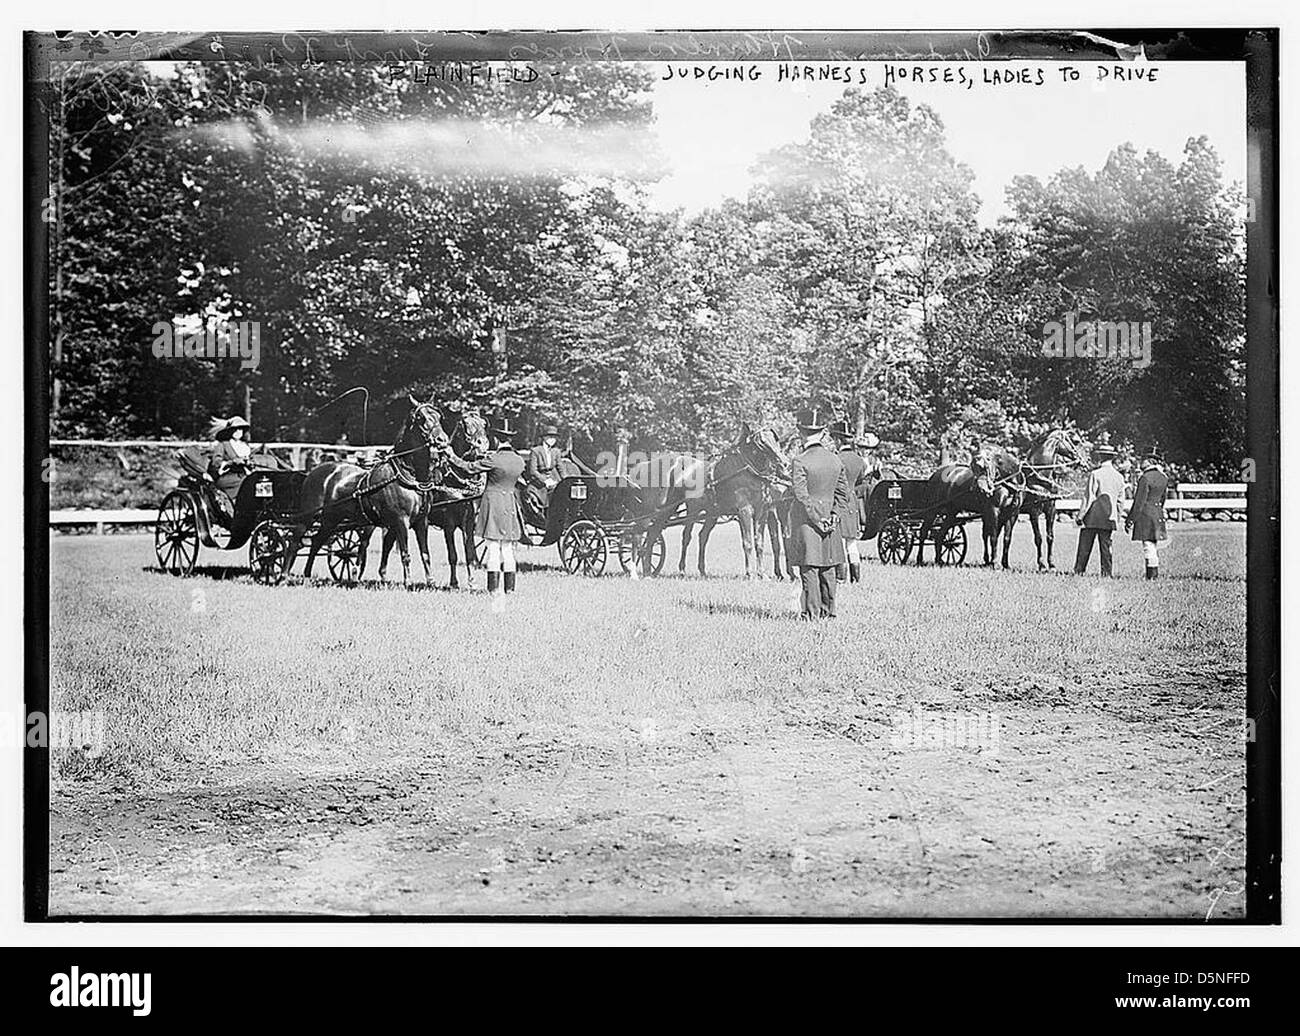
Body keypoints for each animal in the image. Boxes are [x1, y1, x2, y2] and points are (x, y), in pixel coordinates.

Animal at [289, 395, 452, 582]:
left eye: (438, 416)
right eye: (421, 418)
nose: (442, 440)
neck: (408, 475)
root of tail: (313, 472)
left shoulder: (420, 521)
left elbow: (425, 554)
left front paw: (429, 581)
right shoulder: (401, 520)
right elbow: (405, 554)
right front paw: (408, 582)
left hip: (331, 519)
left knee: (316, 541)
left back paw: (307, 575)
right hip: (308, 516)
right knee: (295, 541)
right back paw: (283, 574)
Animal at [634, 421, 785, 582]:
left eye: (775, 439)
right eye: (761, 442)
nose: (784, 463)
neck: (747, 471)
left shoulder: (762, 512)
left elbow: (760, 544)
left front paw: (762, 574)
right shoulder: (745, 511)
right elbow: (748, 543)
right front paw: (750, 574)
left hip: (705, 513)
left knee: (696, 536)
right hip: (667, 510)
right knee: (656, 535)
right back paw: (652, 571)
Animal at [1013, 428, 1086, 574]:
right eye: (1073, 441)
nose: (1081, 461)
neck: (1040, 477)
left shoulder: (1051, 510)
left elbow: (1050, 537)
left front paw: (1051, 564)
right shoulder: (1034, 512)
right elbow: (1038, 538)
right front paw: (1041, 565)